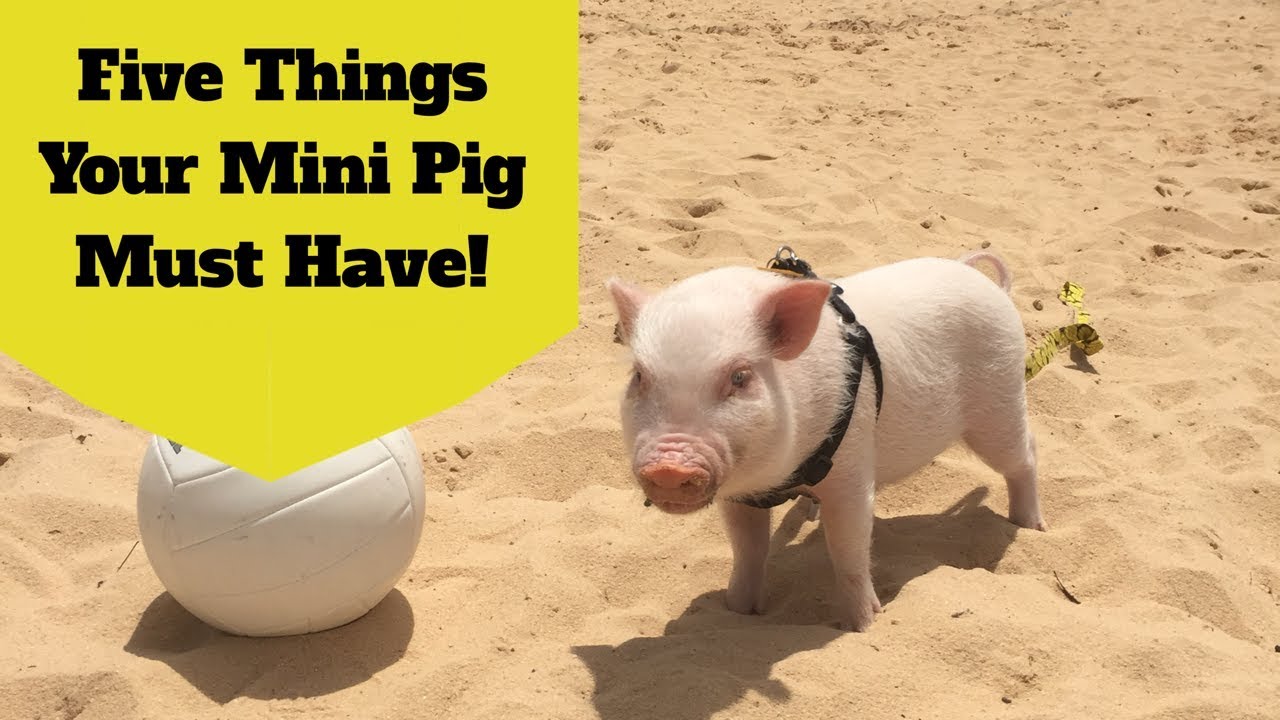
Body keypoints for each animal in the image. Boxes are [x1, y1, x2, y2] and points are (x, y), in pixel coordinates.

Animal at [606, 250, 1046, 632]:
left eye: (740, 377)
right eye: (639, 377)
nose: (668, 465)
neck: (779, 477)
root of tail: (985, 282)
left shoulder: (852, 469)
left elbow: (849, 551)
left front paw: (864, 625)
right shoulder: (738, 496)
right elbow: (748, 551)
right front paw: (736, 610)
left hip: (999, 400)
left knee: (1026, 454)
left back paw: (1031, 525)